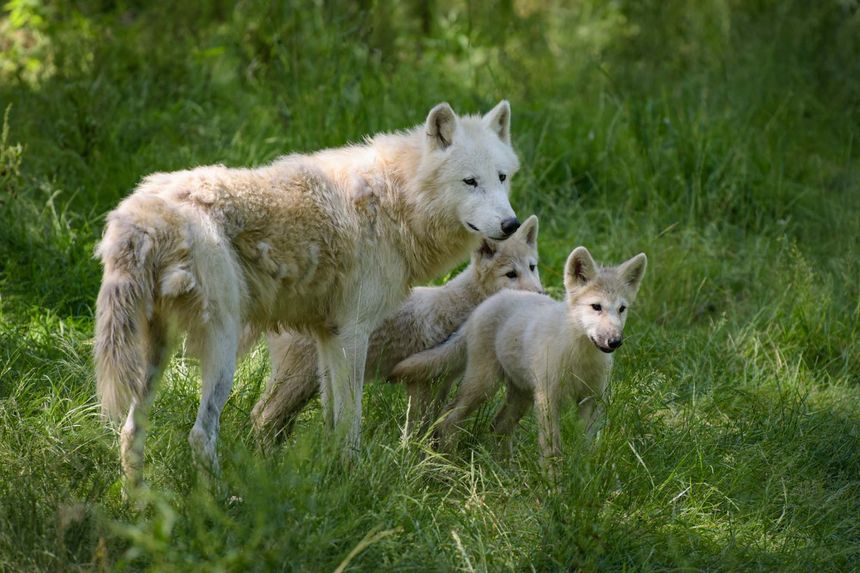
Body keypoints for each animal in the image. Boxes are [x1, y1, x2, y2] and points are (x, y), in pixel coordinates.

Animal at [251, 215, 543, 443]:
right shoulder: (420, 381)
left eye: (532, 267)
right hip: (299, 380)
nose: (541, 294)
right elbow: (416, 429)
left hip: (306, 384)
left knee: (272, 420)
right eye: (511, 274)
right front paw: (411, 458)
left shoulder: (443, 381)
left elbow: (433, 424)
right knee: (262, 417)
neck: (454, 308)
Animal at [390, 246, 647, 464]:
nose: (615, 341)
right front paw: (554, 489)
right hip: (484, 387)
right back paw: (447, 464)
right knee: (448, 419)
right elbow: (552, 452)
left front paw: (581, 477)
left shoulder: (591, 400)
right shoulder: (548, 398)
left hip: (521, 396)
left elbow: (586, 449)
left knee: (497, 427)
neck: (579, 357)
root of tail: (486, 304)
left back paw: (504, 471)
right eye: (596, 307)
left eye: (621, 309)